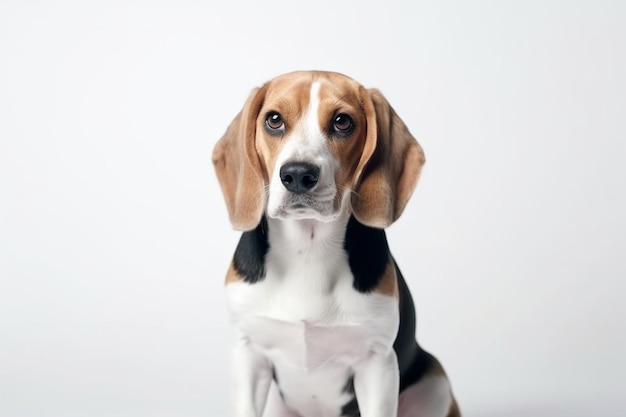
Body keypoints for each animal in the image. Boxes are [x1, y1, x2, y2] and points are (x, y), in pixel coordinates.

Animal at [212, 71, 456, 416]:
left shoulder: (377, 363)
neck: (308, 248)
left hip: (435, 383)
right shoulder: (248, 352)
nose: (298, 174)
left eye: (342, 122)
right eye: (274, 120)